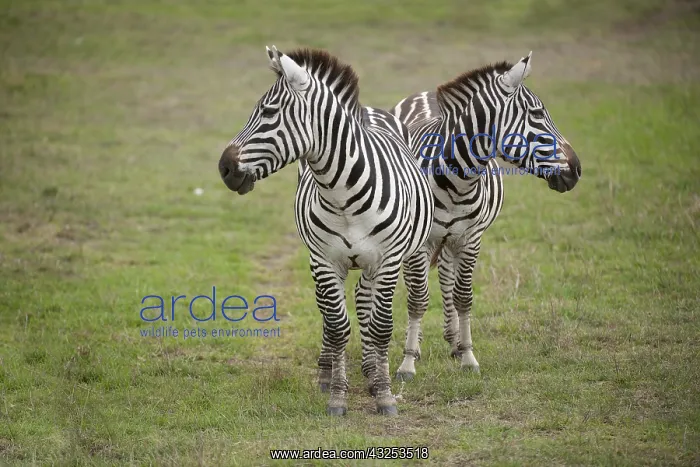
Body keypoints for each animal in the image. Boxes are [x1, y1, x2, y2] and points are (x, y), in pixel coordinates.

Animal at [217, 46, 434, 416]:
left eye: (269, 112)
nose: (224, 168)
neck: (343, 194)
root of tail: (371, 110)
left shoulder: (387, 261)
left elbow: (379, 326)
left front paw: (384, 393)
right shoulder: (325, 261)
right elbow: (336, 327)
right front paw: (336, 394)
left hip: (396, 256)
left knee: (367, 301)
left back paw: (372, 370)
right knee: (330, 310)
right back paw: (329, 370)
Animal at [385, 52, 582, 380]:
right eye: (538, 114)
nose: (577, 170)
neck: (457, 179)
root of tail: (423, 94)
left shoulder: (471, 238)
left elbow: (463, 296)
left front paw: (467, 356)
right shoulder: (421, 243)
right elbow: (417, 299)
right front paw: (407, 362)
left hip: (451, 241)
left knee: (446, 277)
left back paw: (453, 340)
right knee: (418, 285)